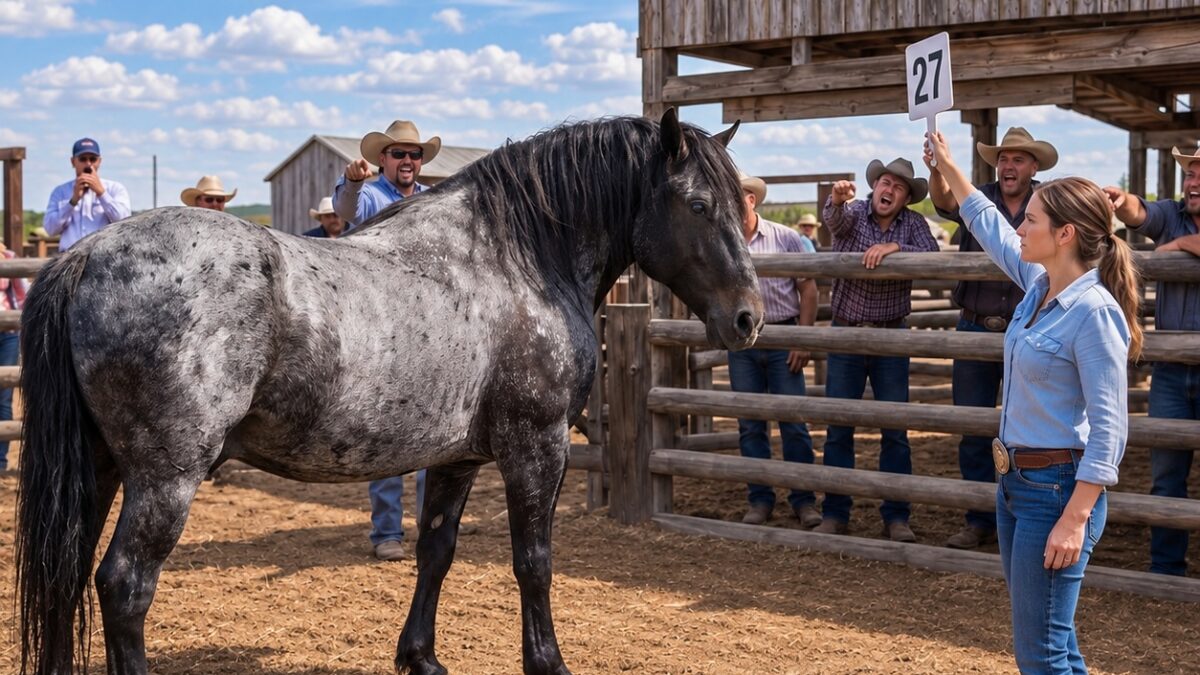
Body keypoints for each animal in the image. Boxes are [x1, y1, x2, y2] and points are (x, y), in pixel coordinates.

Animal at [15, 109, 763, 675]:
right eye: (699, 204)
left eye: (745, 209)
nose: (749, 317)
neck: (518, 258)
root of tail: (86, 256)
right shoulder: (536, 447)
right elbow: (534, 562)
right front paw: (547, 662)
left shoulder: (458, 457)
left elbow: (436, 551)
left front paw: (420, 657)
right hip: (166, 475)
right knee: (124, 586)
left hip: (101, 467)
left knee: (68, 573)